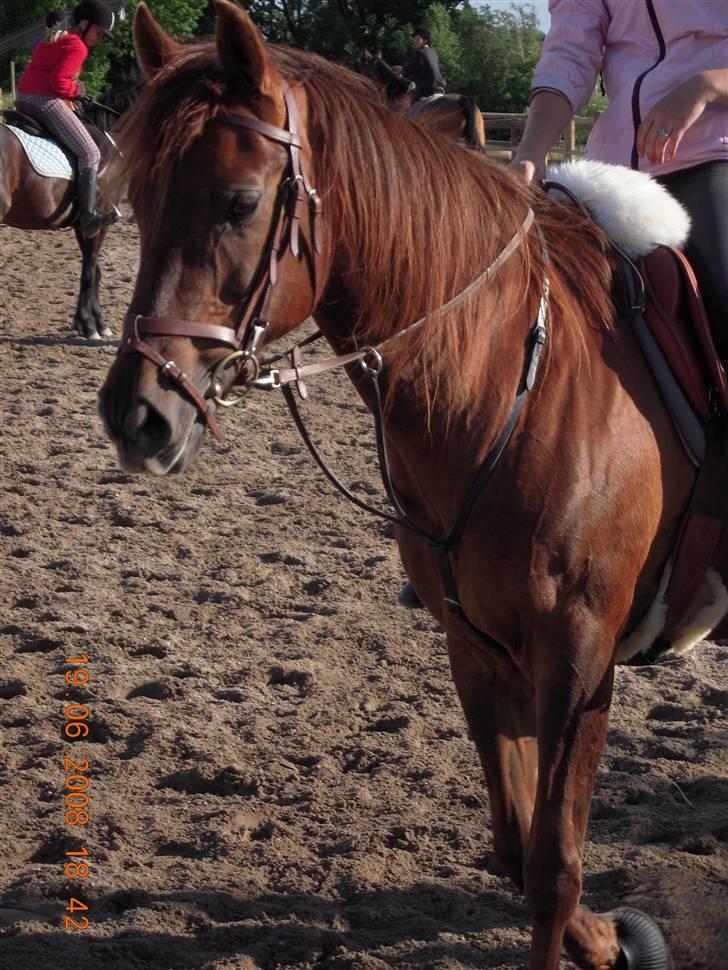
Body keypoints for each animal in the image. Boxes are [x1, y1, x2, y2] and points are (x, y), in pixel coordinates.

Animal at [0, 105, 114, 338]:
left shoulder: (82, 225)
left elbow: (94, 270)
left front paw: (93, 323)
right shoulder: (99, 223)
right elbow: (89, 272)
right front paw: (90, 326)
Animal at [95, 3, 716, 964]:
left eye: (240, 202)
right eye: (142, 201)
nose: (138, 416)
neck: (512, 384)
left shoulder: (579, 656)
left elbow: (554, 867)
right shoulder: (479, 649)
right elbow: (517, 848)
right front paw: (613, 942)